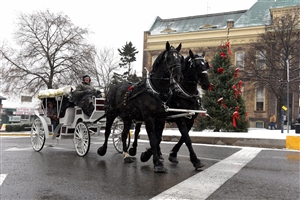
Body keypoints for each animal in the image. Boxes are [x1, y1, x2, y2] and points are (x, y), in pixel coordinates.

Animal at [97, 41, 184, 173]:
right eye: (169, 58)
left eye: (180, 58)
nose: (178, 76)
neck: (155, 91)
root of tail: (113, 88)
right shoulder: (148, 118)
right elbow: (152, 139)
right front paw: (157, 163)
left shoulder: (161, 118)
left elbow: (158, 138)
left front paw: (147, 156)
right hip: (111, 114)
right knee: (107, 132)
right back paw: (103, 149)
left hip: (127, 118)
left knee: (123, 134)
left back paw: (126, 155)